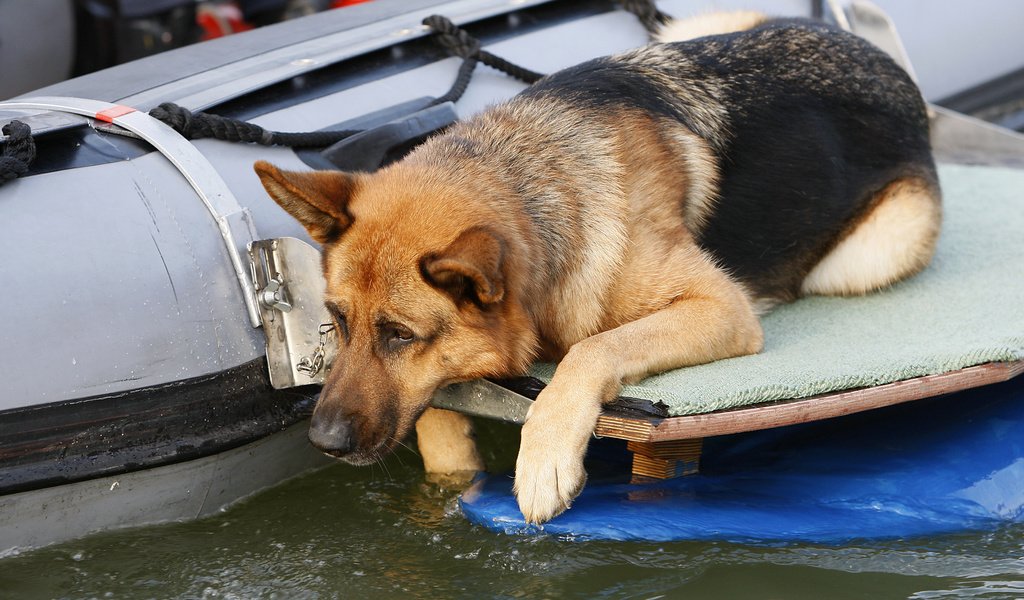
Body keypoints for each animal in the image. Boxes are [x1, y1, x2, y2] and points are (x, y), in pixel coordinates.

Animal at [251, 11, 937, 520]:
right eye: (339, 322)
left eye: (399, 335)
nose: (323, 442)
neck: (533, 185)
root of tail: (883, 60)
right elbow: (435, 414)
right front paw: (452, 469)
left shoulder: (720, 307)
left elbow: (592, 348)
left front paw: (543, 455)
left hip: (869, 254)